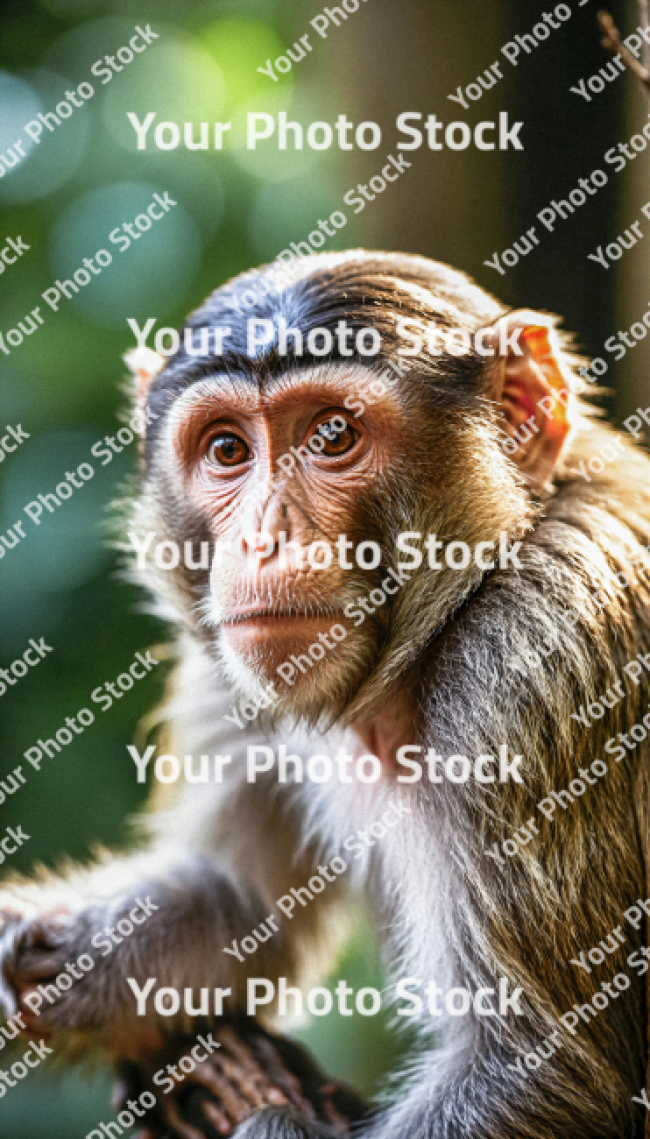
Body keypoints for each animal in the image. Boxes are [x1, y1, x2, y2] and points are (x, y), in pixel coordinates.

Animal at [1, 251, 650, 1139]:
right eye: (227, 448)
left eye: (332, 435)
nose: (263, 538)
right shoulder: (224, 672)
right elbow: (238, 908)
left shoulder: (536, 656)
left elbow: (548, 1067)